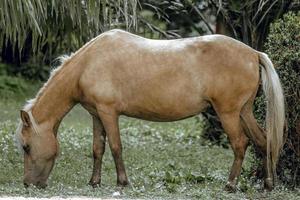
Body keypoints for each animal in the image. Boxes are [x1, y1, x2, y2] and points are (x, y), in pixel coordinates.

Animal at [15, 29, 284, 191]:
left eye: (26, 147)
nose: (28, 184)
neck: (89, 64)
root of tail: (252, 53)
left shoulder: (108, 113)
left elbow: (115, 147)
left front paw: (122, 182)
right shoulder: (96, 115)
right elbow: (97, 149)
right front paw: (94, 182)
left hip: (228, 114)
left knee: (240, 144)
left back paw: (229, 185)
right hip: (244, 112)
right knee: (263, 141)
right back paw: (268, 184)